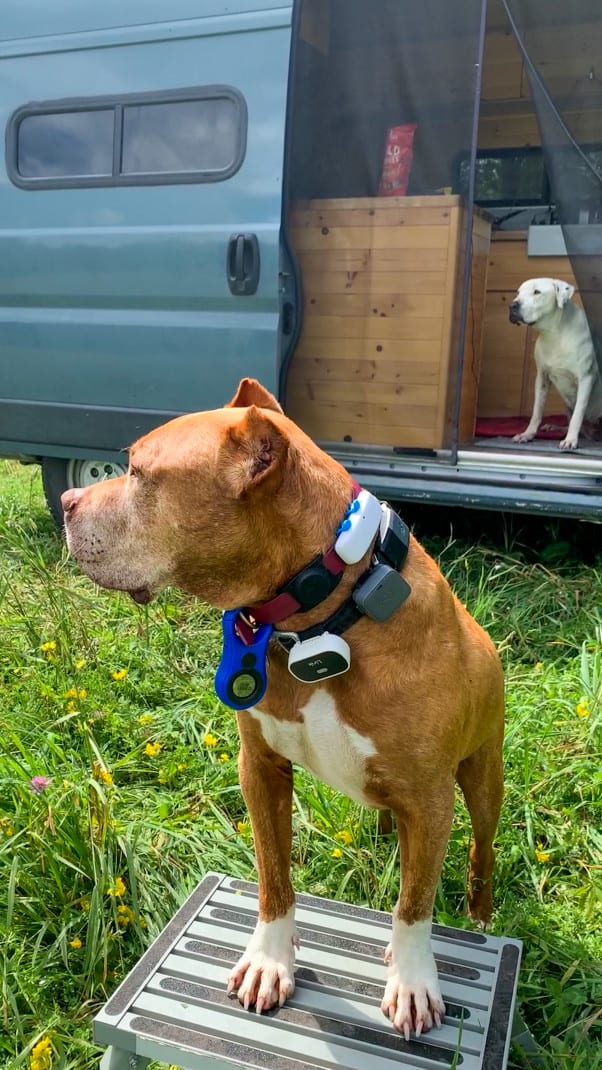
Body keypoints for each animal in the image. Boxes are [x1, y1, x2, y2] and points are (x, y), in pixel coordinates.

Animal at [61, 374, 504, 1035]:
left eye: (138, 472)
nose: (66, 500)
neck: (322, 618)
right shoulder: (261, 768)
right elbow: (273, 875)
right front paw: (270, 960)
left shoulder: (430, 799)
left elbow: (415, 903)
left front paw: (412, 979)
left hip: (481, 780)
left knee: (480, 849)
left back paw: (478, 911)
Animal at [508, 278, 602, 449]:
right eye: (518, 292)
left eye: (537, 292)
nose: (512, 305)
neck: (555, 334)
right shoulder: (542, 378)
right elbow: (537, 411)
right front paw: (528, 434)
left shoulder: (586, 379)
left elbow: (578, 414)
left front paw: (570, 440)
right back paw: (555, 427)